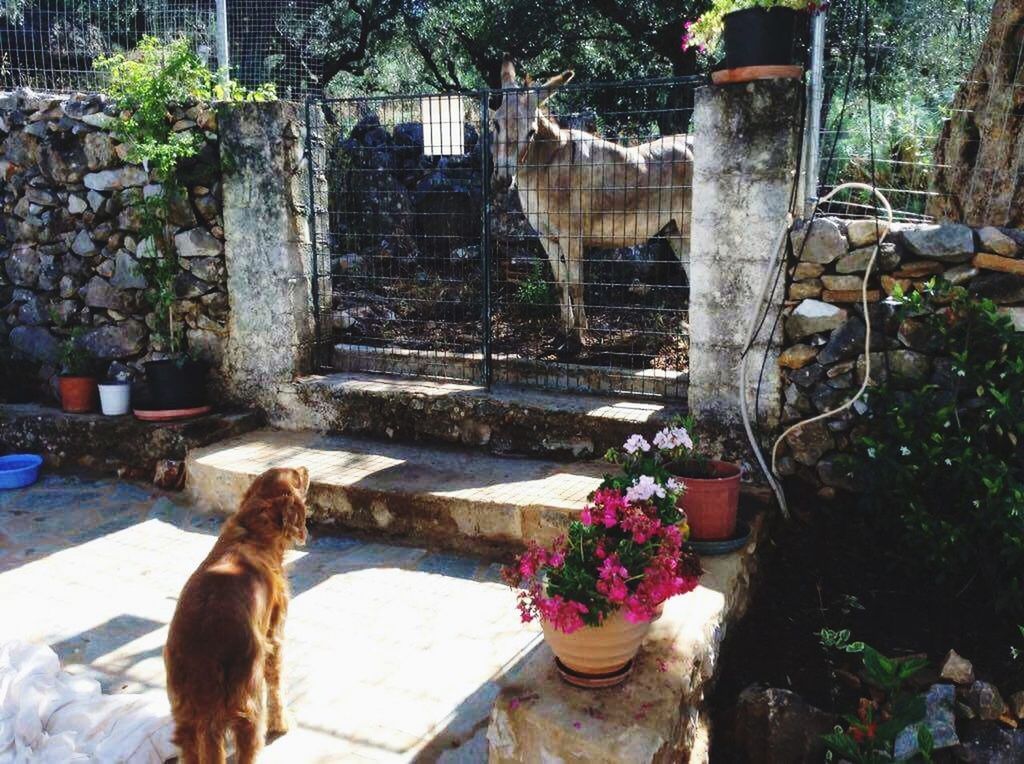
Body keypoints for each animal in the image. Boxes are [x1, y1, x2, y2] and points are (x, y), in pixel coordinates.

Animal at [161, 464, 307, 761]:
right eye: (298, 477)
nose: (306, 467)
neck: (253, 531)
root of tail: (203, 654)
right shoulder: (274, 636)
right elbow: (276, 685)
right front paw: (281, 724)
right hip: (247, 704)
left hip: (184, 716)